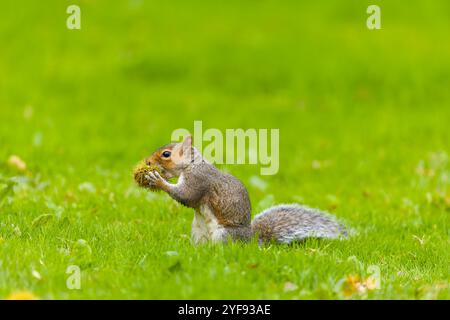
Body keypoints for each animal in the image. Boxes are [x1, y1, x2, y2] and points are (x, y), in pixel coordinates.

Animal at [142, 136, 346, 245]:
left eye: (166, 154)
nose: (147, 162)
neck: (192, 165)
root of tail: (253, 240)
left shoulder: (199, 181)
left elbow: (186, 196)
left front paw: (157, 180)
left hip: (224, 234)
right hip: (198, 231)